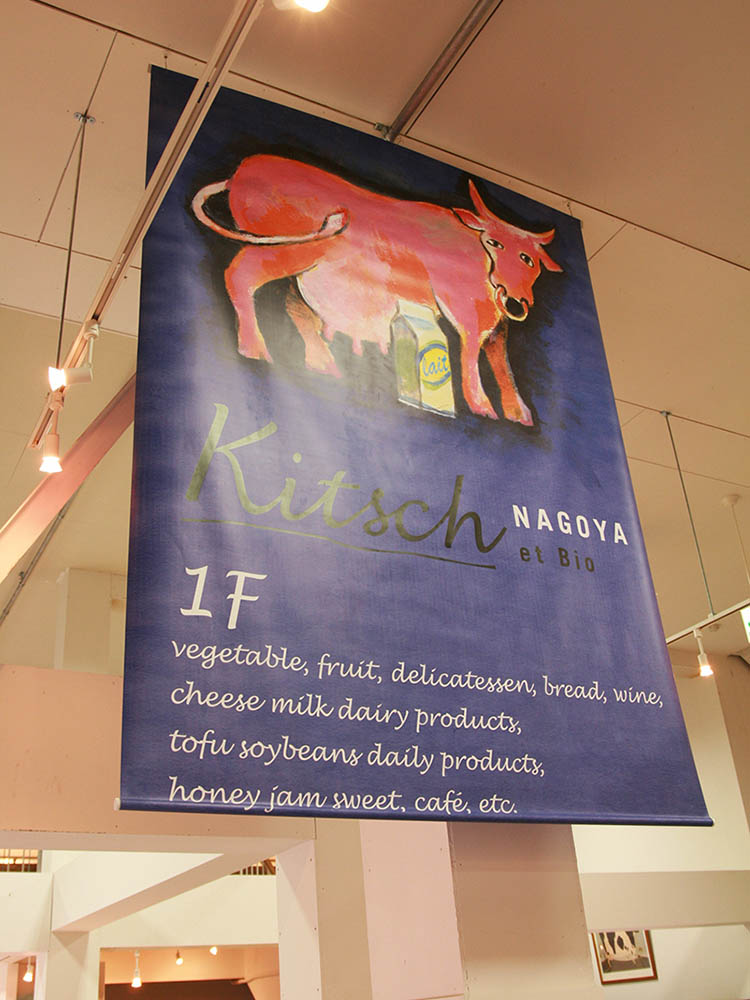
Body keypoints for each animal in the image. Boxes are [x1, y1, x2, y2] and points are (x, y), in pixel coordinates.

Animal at [192, 154, 561, 424]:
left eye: (531, 260)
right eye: (496, 243)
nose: (517, 301)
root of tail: (240, 172)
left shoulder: (498, 325)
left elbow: (503, 366)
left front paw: (520, 415)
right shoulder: (466, 313)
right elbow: (470, 355)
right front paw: (482, 407)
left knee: (296, 309)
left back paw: (324, 366)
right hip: (289, 252)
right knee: (240, 275)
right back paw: (256, 350)